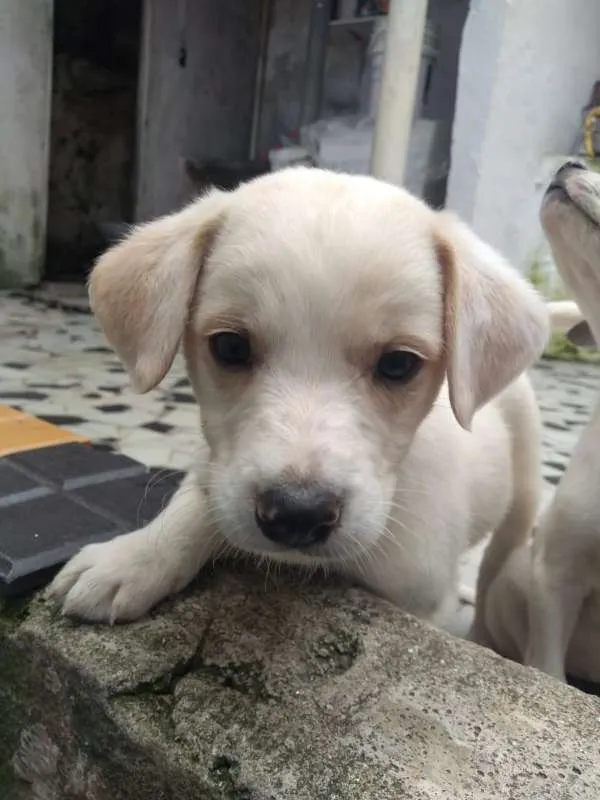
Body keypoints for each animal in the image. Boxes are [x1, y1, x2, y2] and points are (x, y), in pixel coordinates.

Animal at [49, 170, 552, 632]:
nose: (297, 515)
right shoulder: (219, 467)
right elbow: (199, 504)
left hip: (524, 490)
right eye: (230, 347)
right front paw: (133, 558)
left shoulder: (421, 598)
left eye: (398, 364)